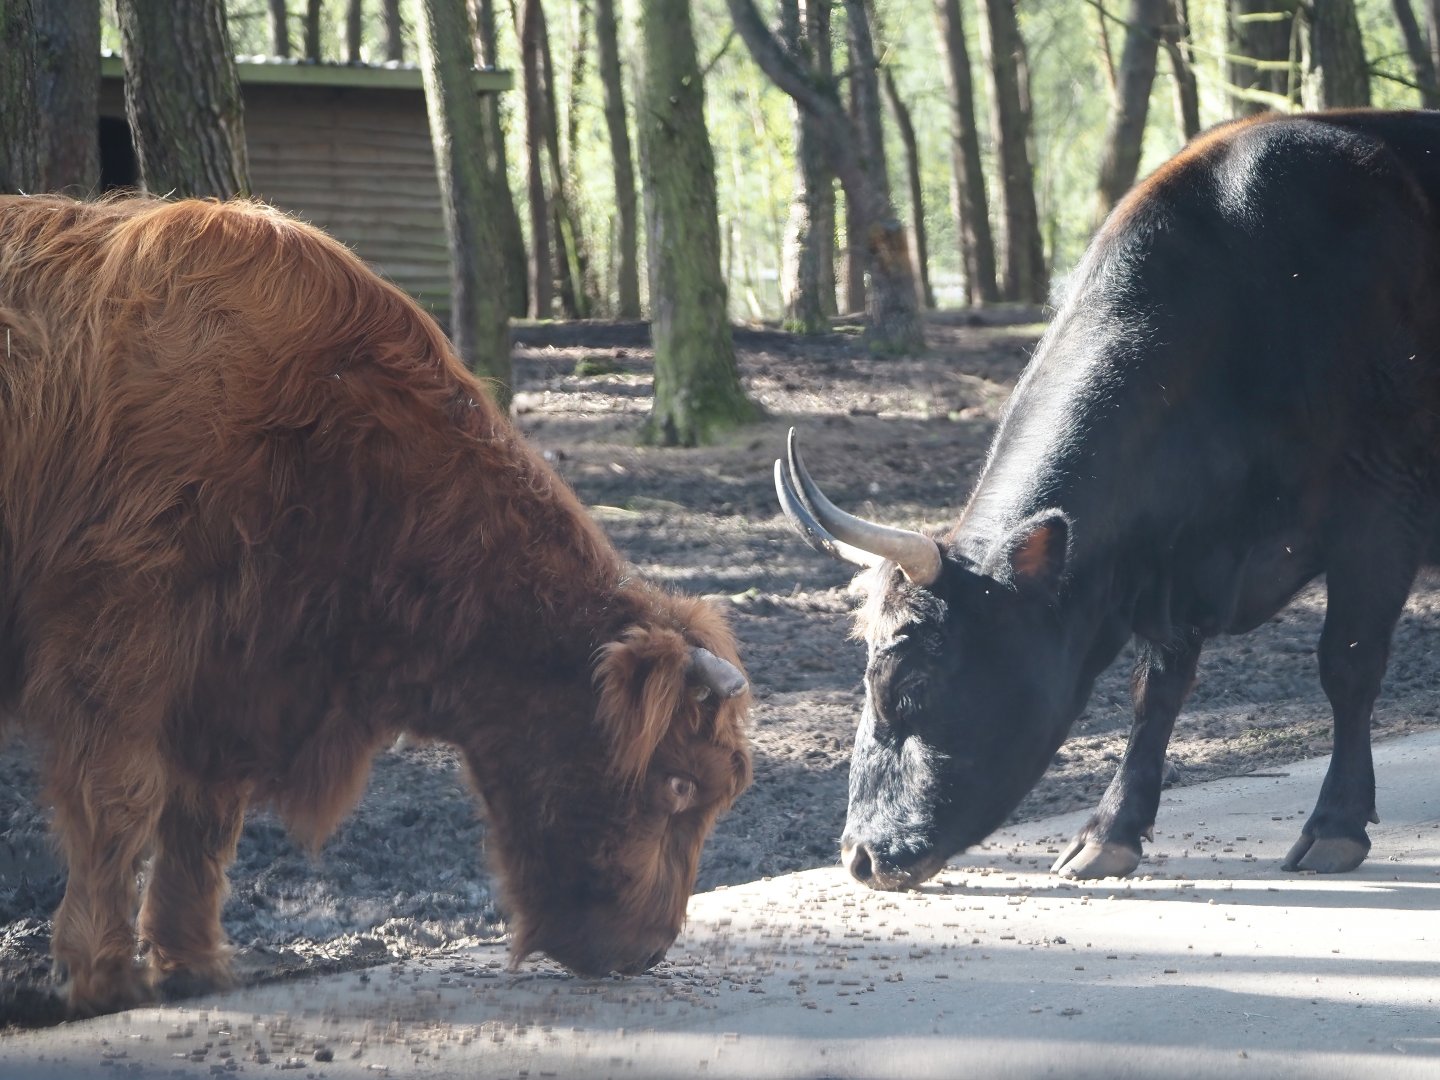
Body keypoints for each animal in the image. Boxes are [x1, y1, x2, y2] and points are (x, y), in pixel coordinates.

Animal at [0, 194, 751, 1016]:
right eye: (677, 784)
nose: (648, 953)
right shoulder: (119, 631)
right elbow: (121, 800)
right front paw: (102, 976)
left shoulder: (226, 674)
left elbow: (204, 816)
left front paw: (193, 965)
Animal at [776, 109, 1440, 891]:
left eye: (907, 681)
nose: (861, 856)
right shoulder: (1170, 561)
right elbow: (1156, 693)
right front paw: (1109, 832)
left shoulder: (1379, 516)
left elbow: (1347, 664)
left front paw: (1336, 824)